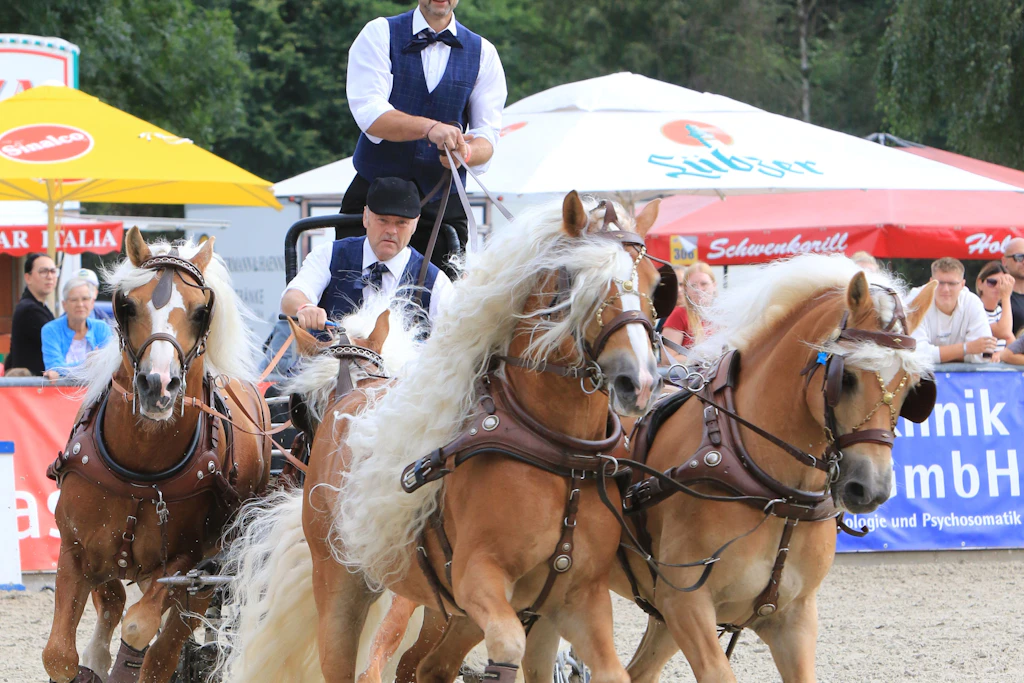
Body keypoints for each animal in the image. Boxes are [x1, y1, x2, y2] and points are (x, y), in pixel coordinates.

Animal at [42, 227, 271, 683]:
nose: (158, 386)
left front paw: (122, 663)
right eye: (127, 305)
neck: (140, 469)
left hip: (209, 571)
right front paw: (91, 662)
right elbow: (59, 654)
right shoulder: (76, 546)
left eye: (201, 312)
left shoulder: (189, 564)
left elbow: (142, 630)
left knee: (164, 645)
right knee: (117, 604)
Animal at [216, 191, 668, 683]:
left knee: (425, 666)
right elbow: (506, 645)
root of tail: (349, 397)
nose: (640, 380)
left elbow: (609, 670)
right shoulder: (477, 578)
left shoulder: (579, 597)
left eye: (653, 282)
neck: (557, 452)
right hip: (340, 588)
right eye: (579, 279)